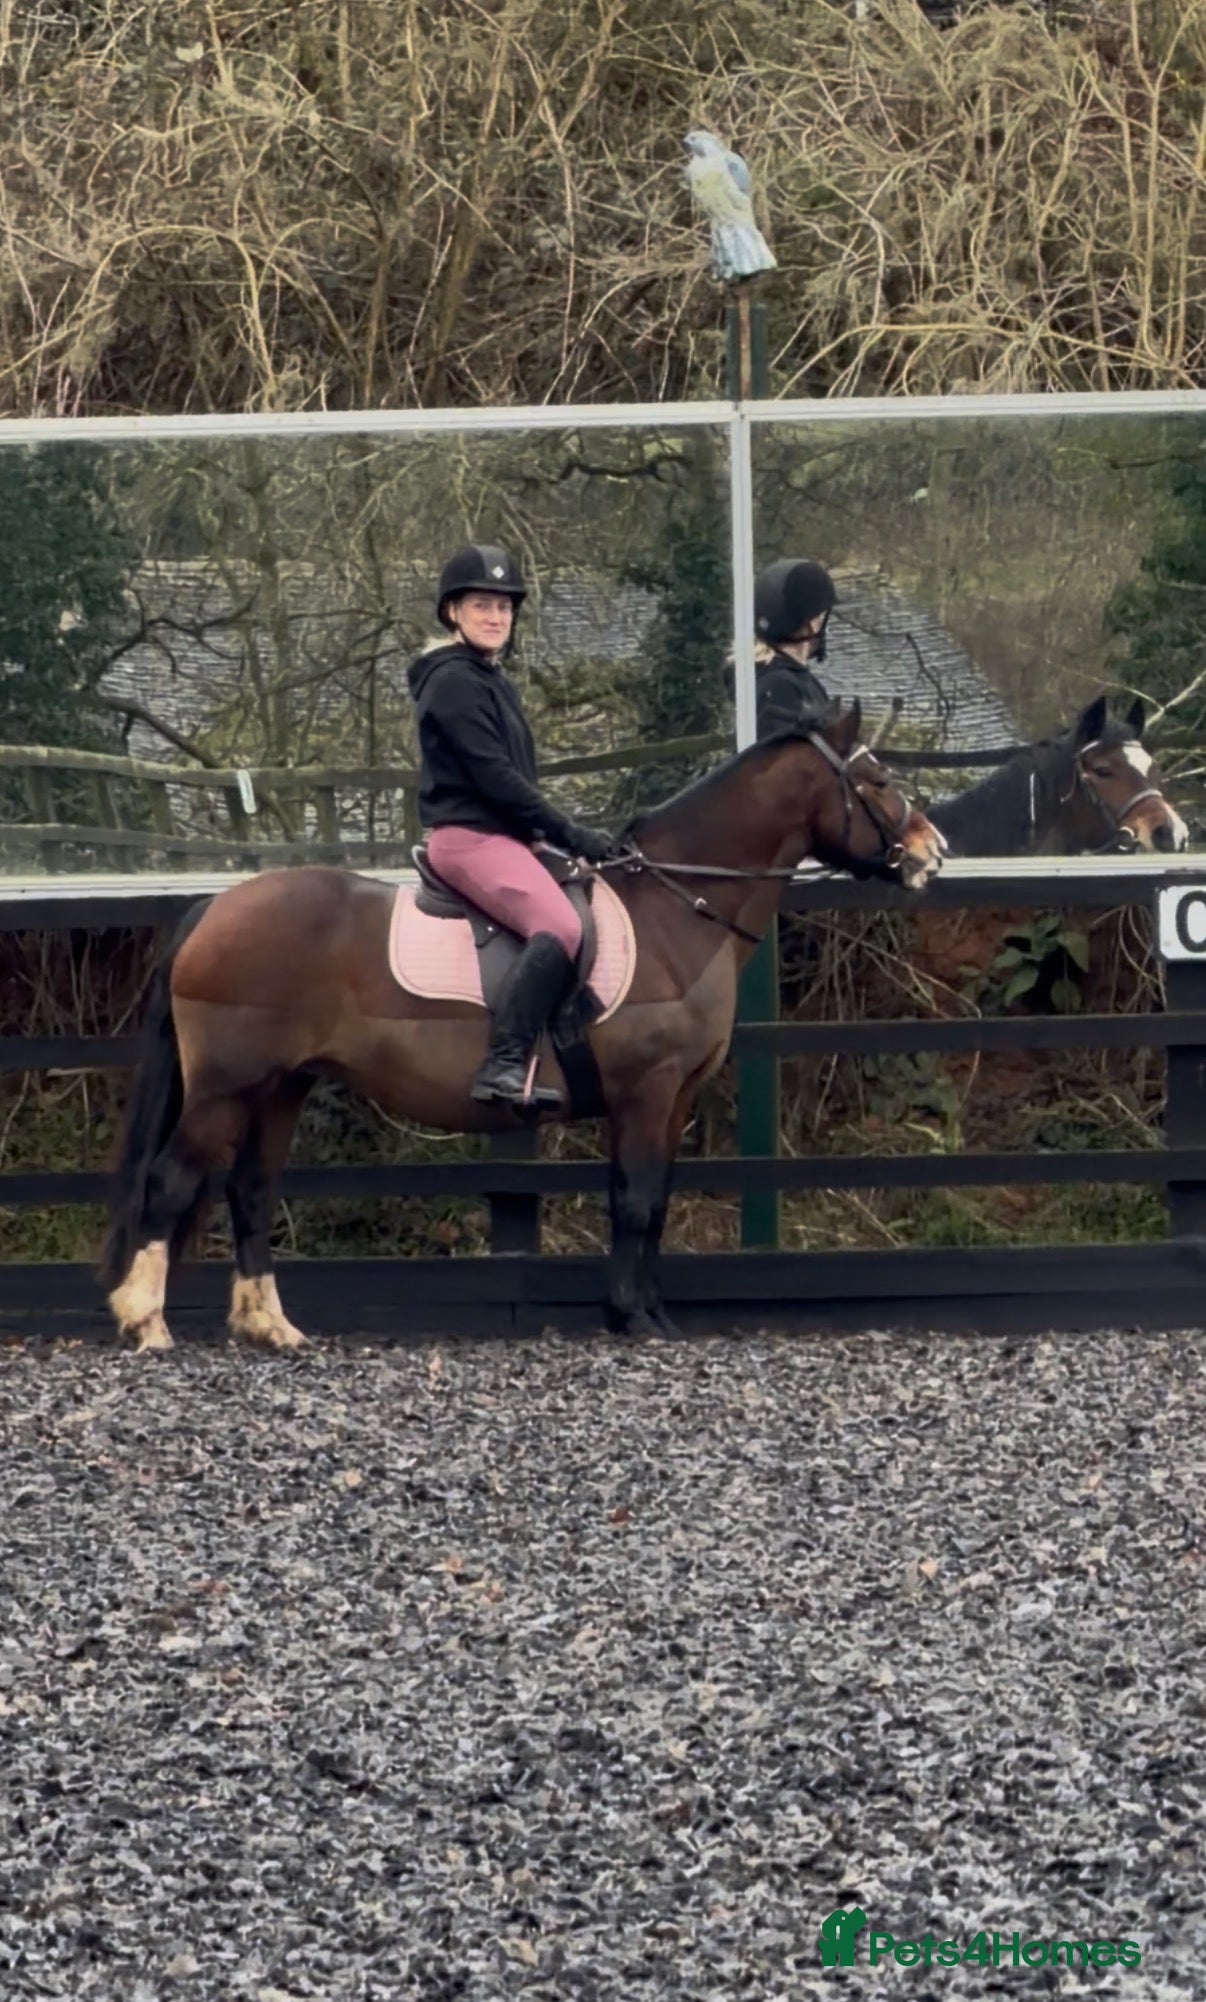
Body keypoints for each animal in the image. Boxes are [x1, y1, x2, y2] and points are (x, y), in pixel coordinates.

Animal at [100, 700, 945, 1352]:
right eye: (876, 780)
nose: (931, 852)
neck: (675, 908)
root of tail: (216, 907)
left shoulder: (672, 1101)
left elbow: (654, 1203)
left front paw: (649, 1312)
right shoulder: (647, 1092)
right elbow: (635, 1200)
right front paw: (631, 1318)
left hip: (281, 1088)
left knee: (251, 1190)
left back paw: (271, 1328)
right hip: (227, 1088)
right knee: (172, 1179)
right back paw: (147, 1323)